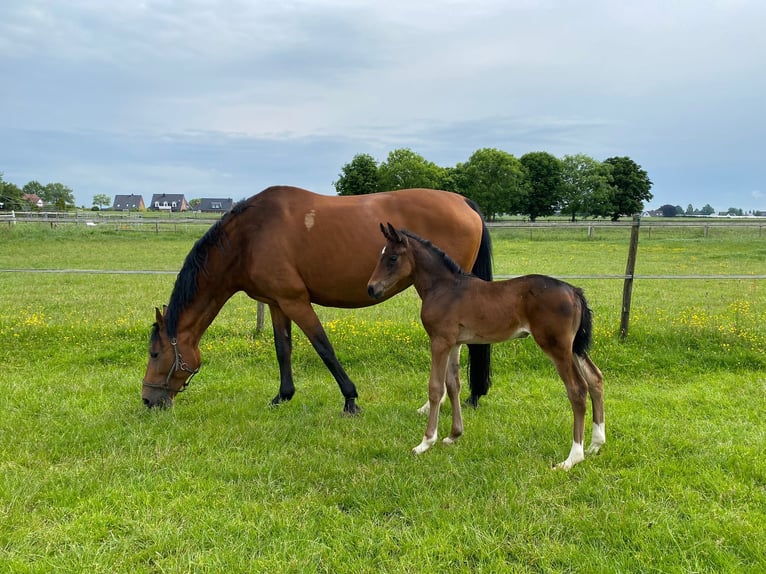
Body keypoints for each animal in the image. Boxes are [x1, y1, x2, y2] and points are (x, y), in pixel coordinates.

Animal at [142, 186, 493, 414]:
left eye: (156, 353)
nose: (147, 400)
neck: (250, 237)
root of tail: (463, 201)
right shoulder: (277, 302)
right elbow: (282, 348)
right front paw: (282, 396)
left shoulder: (296, 301)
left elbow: (324, 347)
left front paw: (350, 400)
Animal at [367, 223, 605, 469]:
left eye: (393, 257)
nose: (371, 288)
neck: (444, 288)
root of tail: (574, 291)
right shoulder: (455, 343)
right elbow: (453, 385)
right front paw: (454, 435)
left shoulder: (439, 341)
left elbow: (436, 388)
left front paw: (425, 443)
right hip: (574, 347)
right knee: (595, 378)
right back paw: (595, 445)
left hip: (557, 347)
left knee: (577, 388)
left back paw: (572, 457)